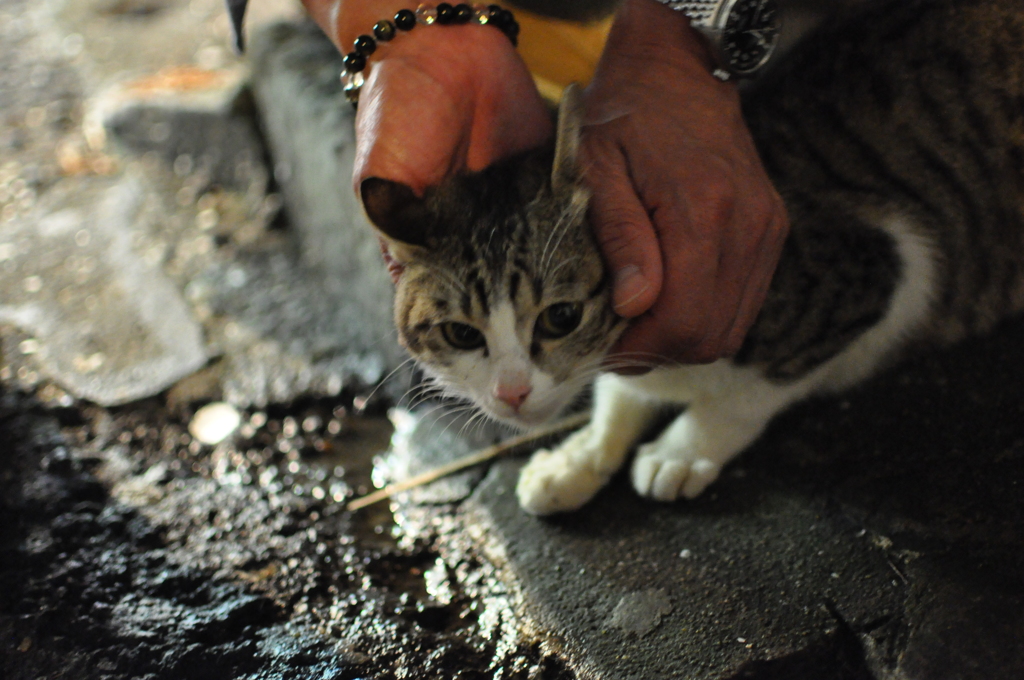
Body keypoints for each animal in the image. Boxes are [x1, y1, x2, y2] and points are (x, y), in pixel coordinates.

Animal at [358, 0, 1024, 512]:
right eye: (461, 334)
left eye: (560, 318)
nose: (512, 394)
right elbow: (623, 397)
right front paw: (581, 455)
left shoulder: (885, 269)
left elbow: (751, 389)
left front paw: (683, 448)